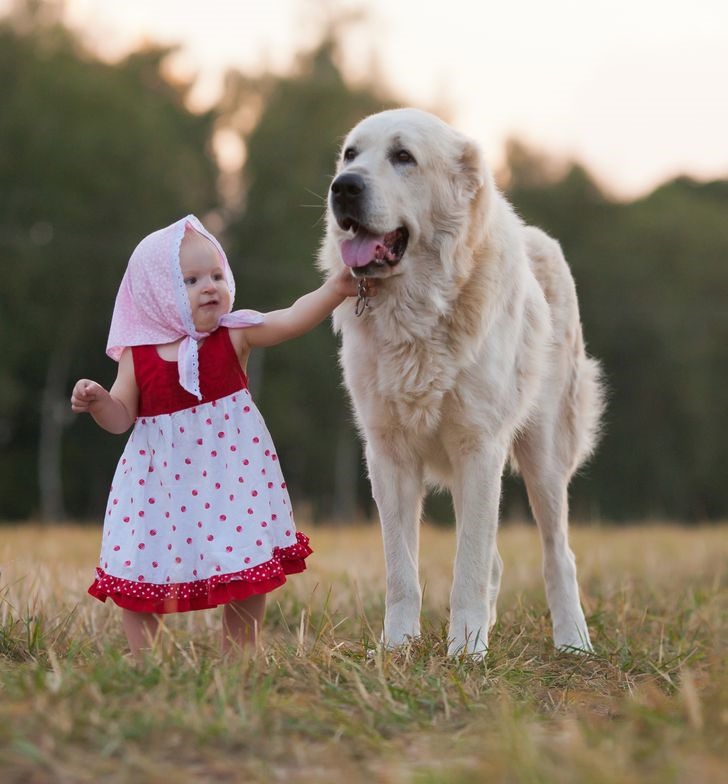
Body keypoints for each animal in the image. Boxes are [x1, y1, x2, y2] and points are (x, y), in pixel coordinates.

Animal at [318, 107, 604, 652]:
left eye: (403, 156)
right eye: (350, 154)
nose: (343, 187)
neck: (419, 314)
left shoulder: (479, 446)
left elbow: (467, 566)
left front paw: (467, 652)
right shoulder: (387, 455)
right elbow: (401, 571)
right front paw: (398, 647)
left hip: (544, 457)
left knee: (558, 553)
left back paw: (573, 640)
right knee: (497, 560)